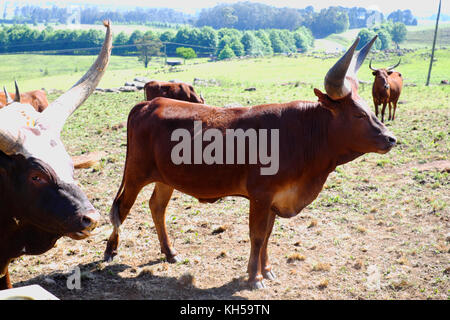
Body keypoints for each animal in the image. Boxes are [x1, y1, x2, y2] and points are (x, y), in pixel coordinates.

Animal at [103, 36, 396, 288]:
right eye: (358, 114)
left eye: (369, 108)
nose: (390, 138)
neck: (301, 134)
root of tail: (148, 104)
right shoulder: (261, 196)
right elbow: (256, 235)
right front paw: (254, 277)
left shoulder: (276, 199)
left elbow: (267, 235)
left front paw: (267, 270)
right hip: (135, 174)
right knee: (122, 207)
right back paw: (111, 250)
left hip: (166, 178)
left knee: (157, 207)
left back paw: (170, 252)